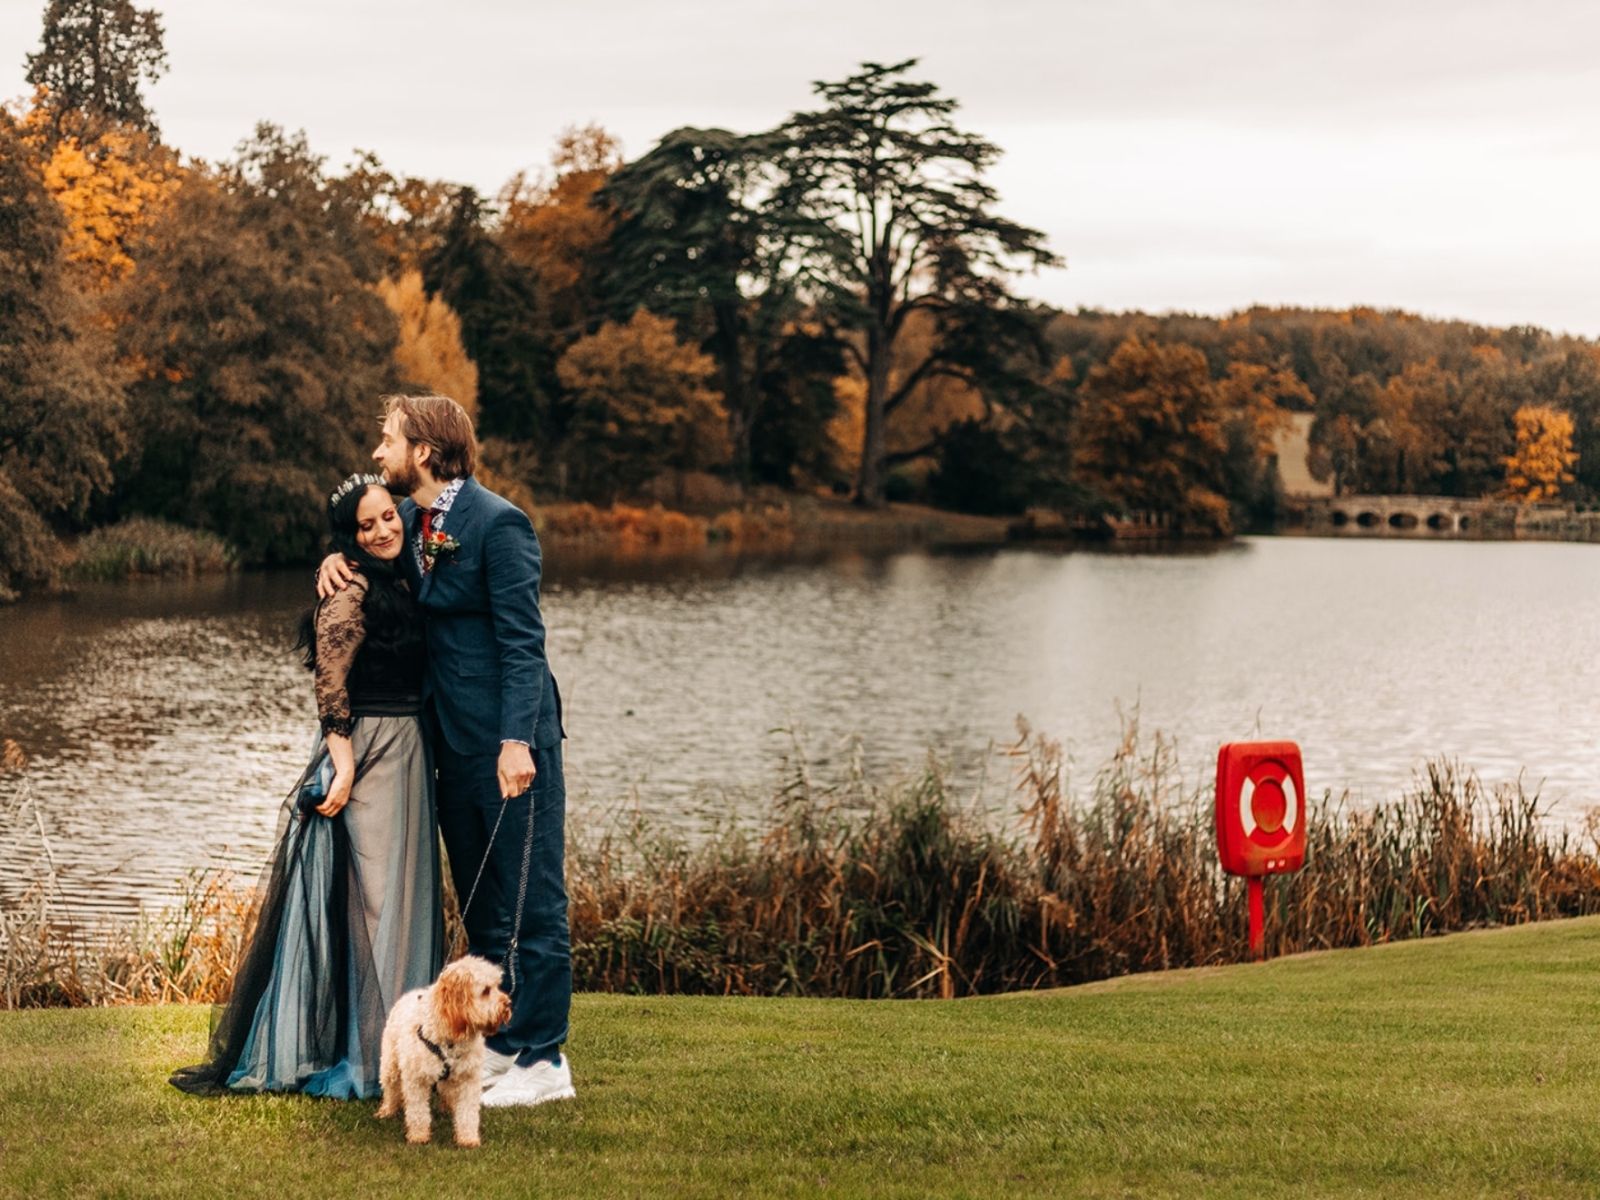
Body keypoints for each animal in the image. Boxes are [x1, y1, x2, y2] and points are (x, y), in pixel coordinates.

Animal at [374, 960, 505, 1145]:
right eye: (486, 990)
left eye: (497, 986)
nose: (507, 1005)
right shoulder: (416, 1079)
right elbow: (418, 1111)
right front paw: (419, 1136)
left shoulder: (469, 1079)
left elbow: (468, 1113)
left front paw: (468, 1138)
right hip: (390, 1064)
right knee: (391, 1089)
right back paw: (387, 1110)